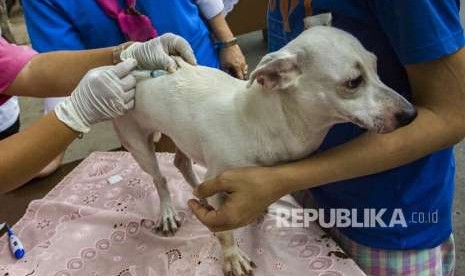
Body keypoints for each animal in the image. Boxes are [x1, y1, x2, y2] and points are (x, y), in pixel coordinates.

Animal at [113, 18, 416, 276]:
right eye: (353, 82)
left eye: (376, 66)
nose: (411, 115)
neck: (260, 121)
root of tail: (132, 67)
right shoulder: (220, 179)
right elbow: (225, 233)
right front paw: (233, 258)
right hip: (138, 145)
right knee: (160, 178)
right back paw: (167, 212)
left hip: (182, 136)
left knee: (182, 164)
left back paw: (199, 194)